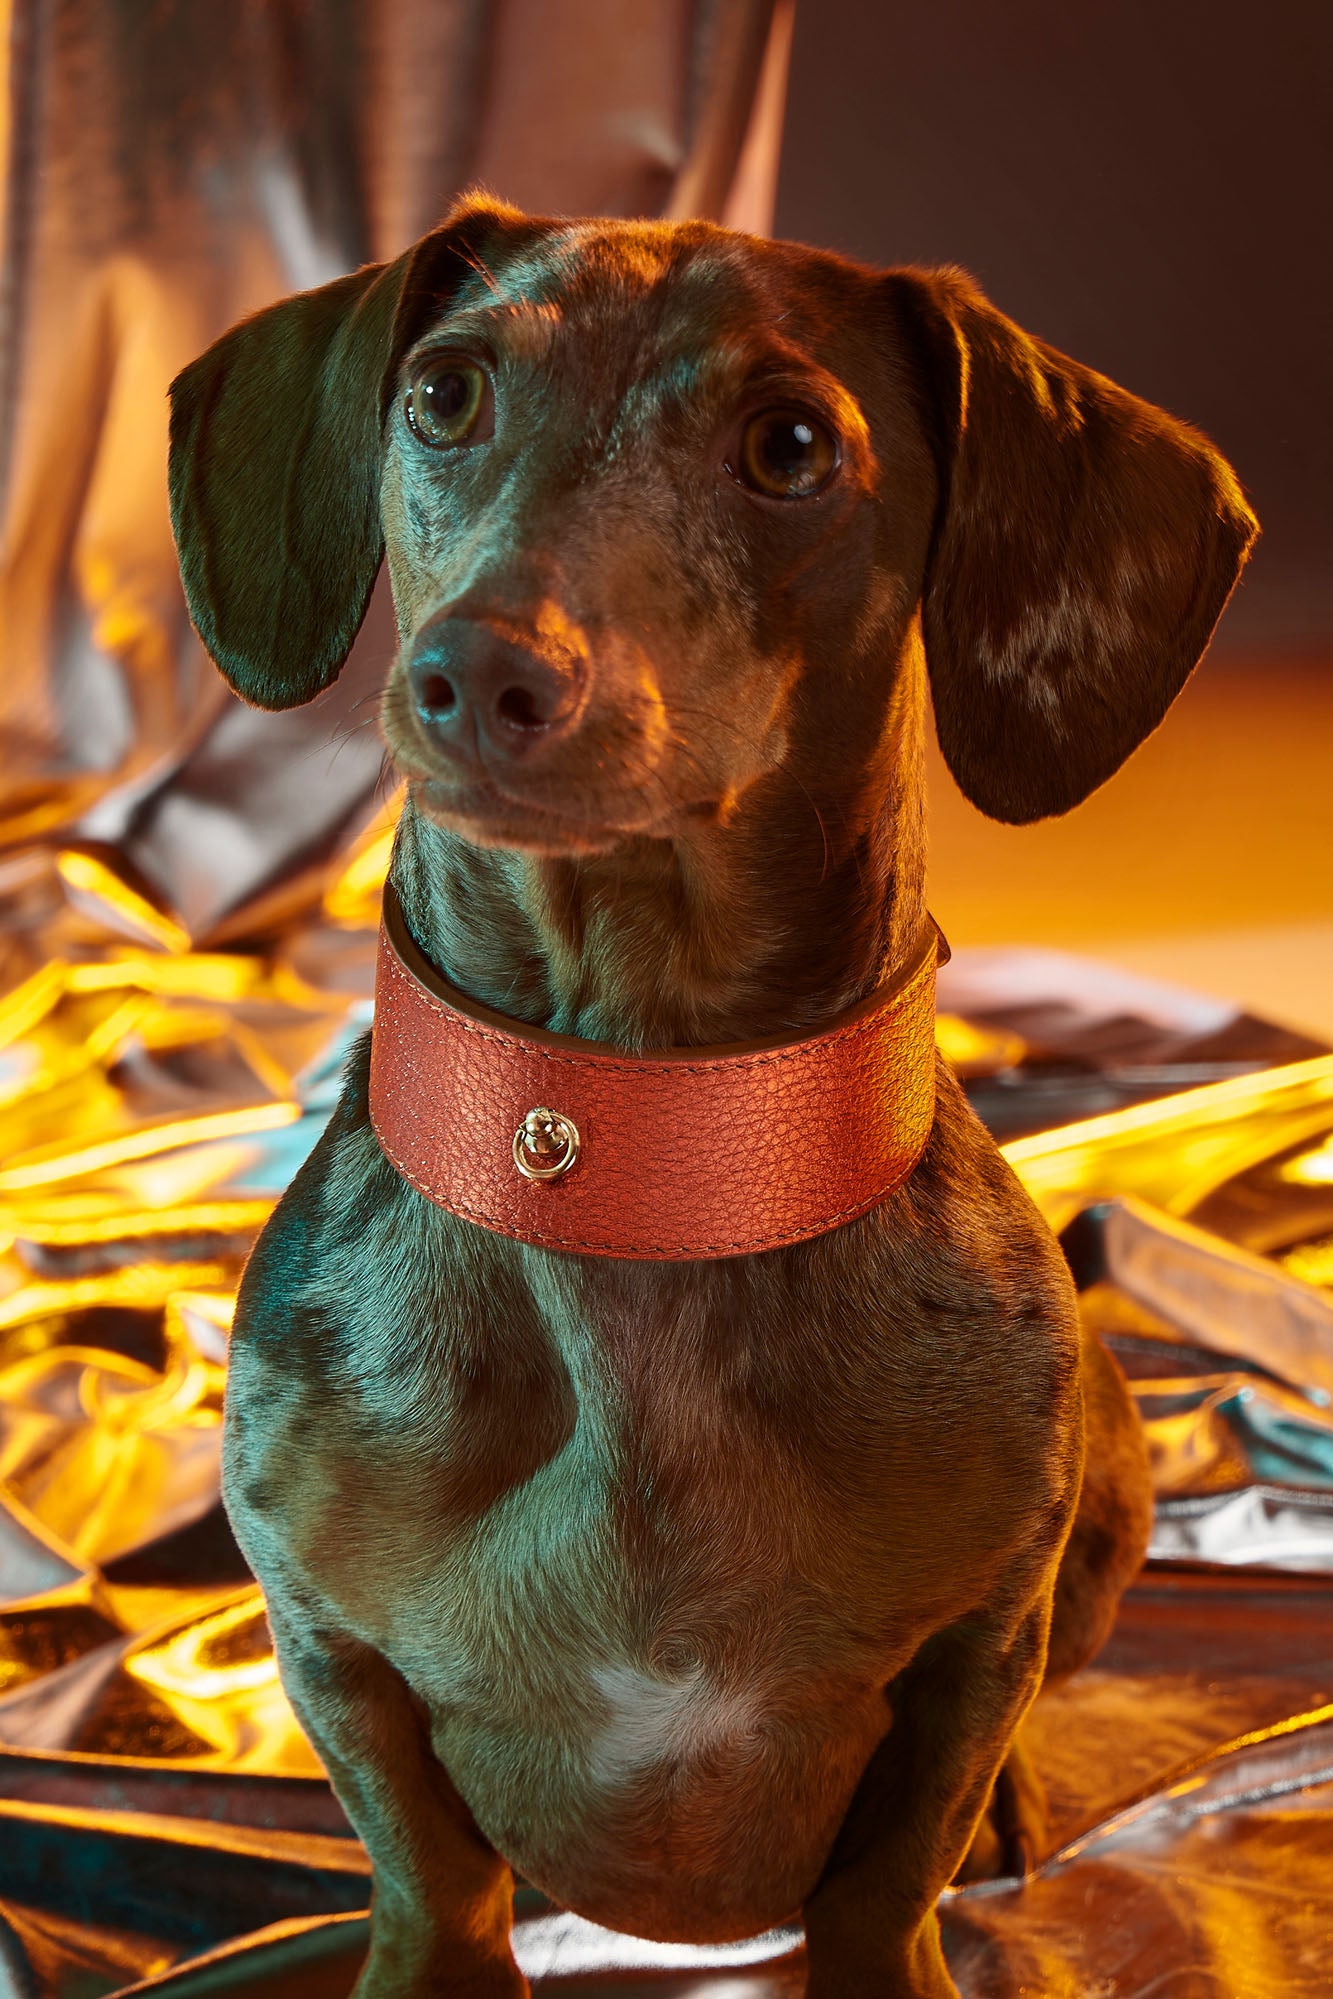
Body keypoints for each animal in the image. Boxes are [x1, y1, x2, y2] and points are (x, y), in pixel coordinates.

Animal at [169, 190, 1263, 1999]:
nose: (479, 671)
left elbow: (890, 1875)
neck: (640, 1152)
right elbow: (428, 1873)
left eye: (791, 444)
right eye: (446, 392)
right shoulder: (330, 1646)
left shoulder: (976, 1644)